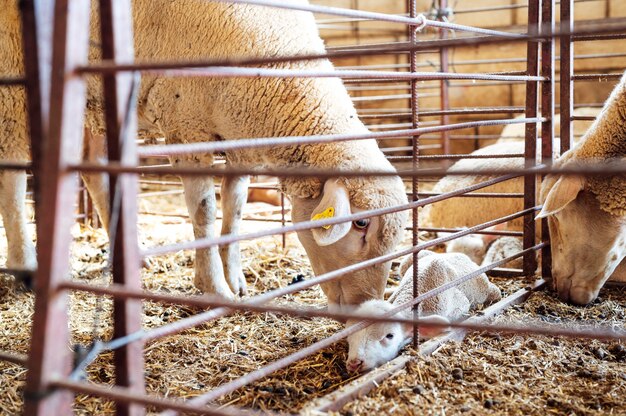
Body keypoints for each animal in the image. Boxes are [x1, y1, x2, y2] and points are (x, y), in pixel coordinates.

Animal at [2, 0, 408, 306]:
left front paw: (236, 279)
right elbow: (205, 209)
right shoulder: (187, 126)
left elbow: (236, 206)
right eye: (361, 224)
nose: (366, 306)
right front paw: (214, 287)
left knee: (92, 167)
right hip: (13, 77)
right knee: (12, 171)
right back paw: (25, 267)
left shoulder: (238, 138)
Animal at [344, 250, 500, 374]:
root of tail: (459, 254)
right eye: (349, 337)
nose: (354, 363)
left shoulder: (460, 304)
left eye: (389, 336)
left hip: (488, 289)